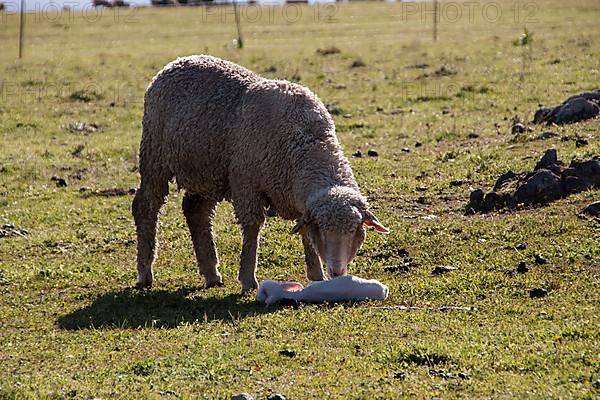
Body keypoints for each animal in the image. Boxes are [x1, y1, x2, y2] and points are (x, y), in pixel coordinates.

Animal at [132, 55, 390, 294]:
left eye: (355, 230)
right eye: (323, 229)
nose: (337, 271)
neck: (307, 143)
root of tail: (179, 61)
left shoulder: (295, 197)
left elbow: (302, 230)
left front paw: (316, 274)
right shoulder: (245, 183)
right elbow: (253, 227)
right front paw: (248, 278)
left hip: (207, 171)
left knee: (195, 211)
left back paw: (211, 272)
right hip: (155, 157)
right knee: (146, 207)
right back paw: (145, 272)